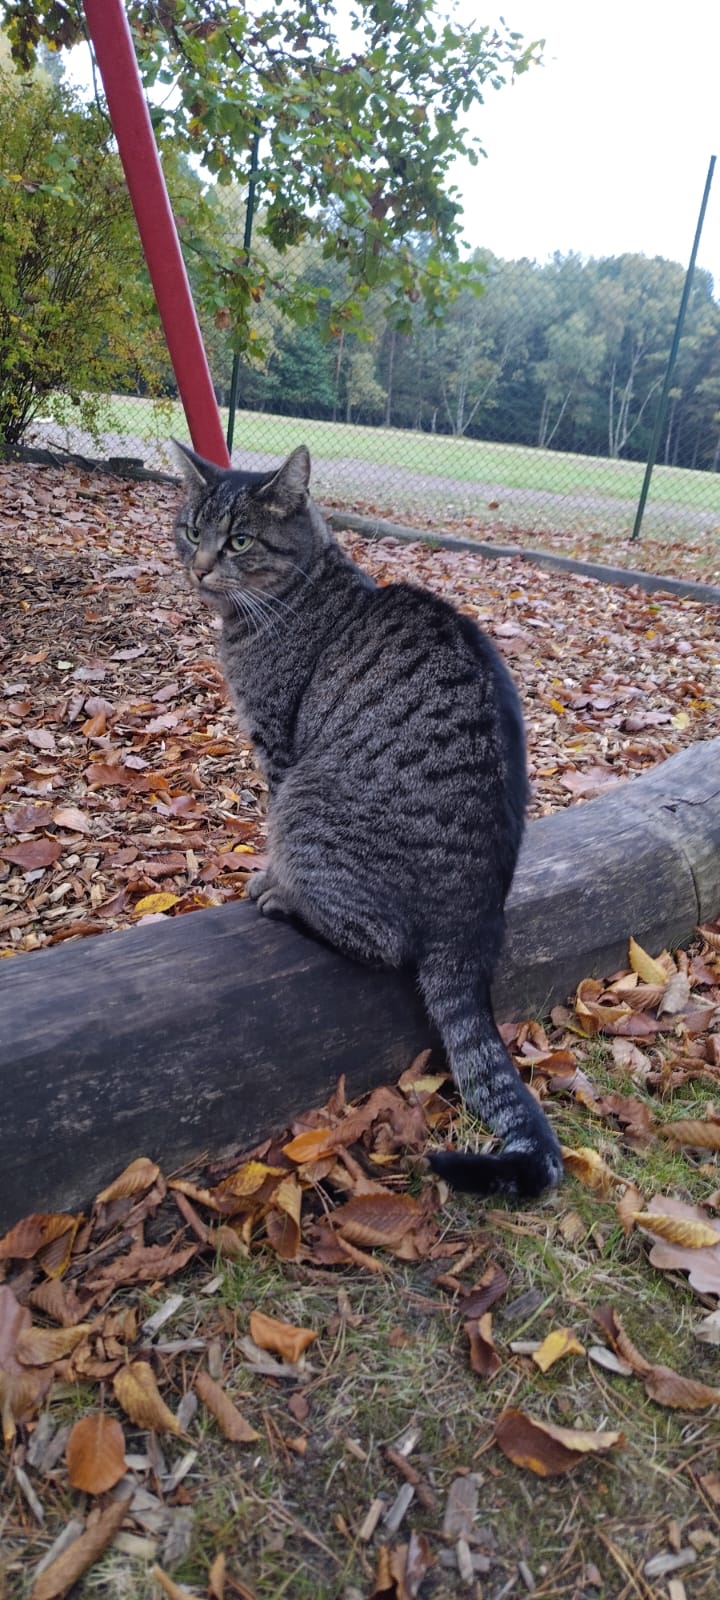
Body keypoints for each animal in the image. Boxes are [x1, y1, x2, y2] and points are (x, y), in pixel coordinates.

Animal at [173, 440, 563, 1198]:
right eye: (192, 529)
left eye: (239, 541)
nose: (199, 566)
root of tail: (473, 927)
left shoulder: (278, 752)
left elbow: (270, 825)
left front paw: (268, 878)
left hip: (312, 800)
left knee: (380, 943)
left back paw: (289, 903)